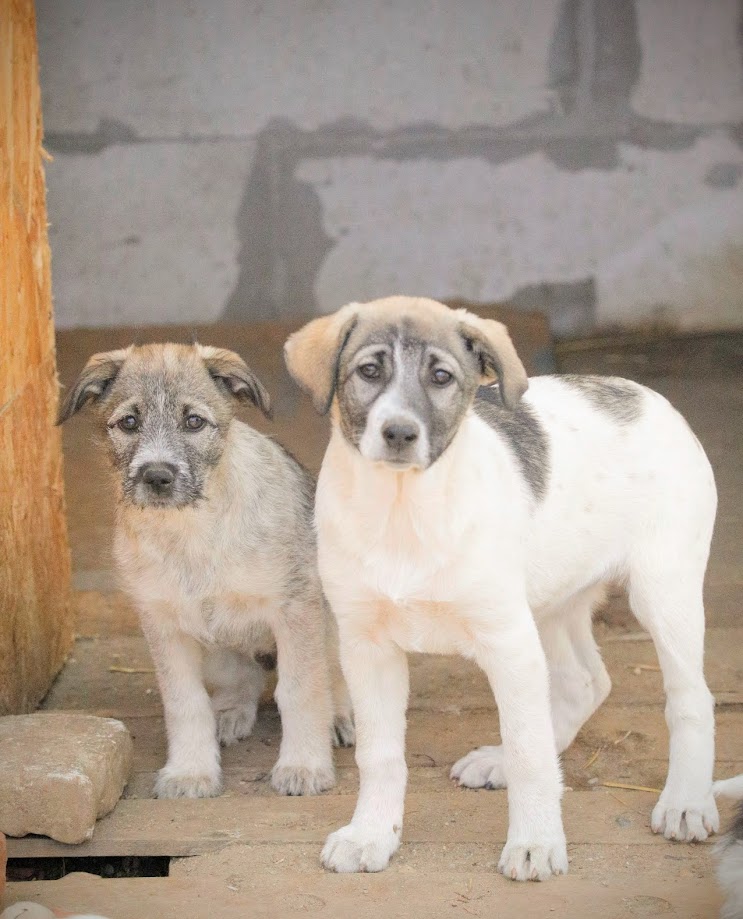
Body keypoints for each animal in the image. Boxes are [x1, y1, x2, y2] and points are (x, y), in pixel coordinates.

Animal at [58, 342, 354, 796]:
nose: (157, 476)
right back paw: (231, 712)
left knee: (335, 676)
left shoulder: (296, 608)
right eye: (129, 422)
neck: (191, 533)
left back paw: (338, 717)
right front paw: (191, 770)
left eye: (194, 421)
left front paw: (304, 765)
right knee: (245, 676)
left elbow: (301, 689)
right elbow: (184, 702)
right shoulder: (163, 624)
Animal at [284, 296, 720, 884]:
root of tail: (645, 394)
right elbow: (380, 755)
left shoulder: (507, 642)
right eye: (369, 371)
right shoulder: (366, 647)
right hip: (553, 599)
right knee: (587, 680)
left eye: (441, 377)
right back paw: (500, 761)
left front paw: (535, 842)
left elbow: (529, 752)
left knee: (690, 697)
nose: (399, 433)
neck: (404, 510)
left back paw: (686, 802)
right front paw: (371, 834)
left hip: (663, 591)